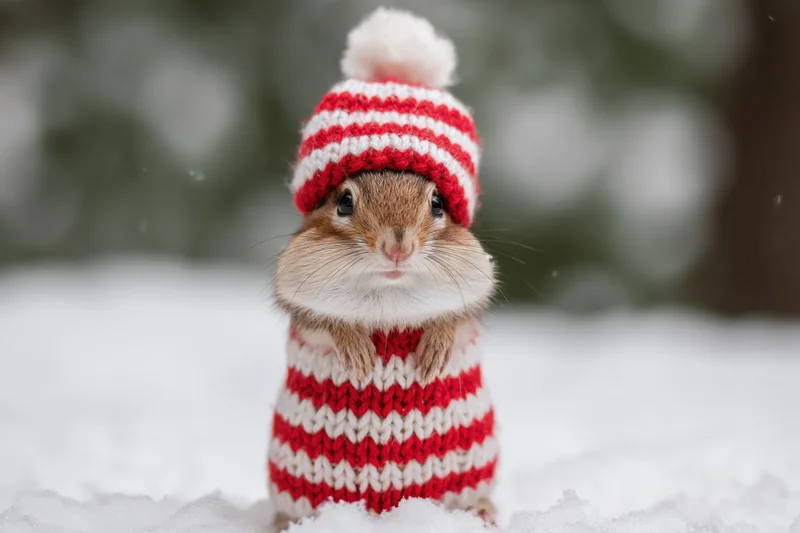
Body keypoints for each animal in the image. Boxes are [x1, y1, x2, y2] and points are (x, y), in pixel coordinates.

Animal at [267, 7, 498, 530]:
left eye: (437, 203)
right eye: (343, 202)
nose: (398, 247)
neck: (389, 295)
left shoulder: (475, 289)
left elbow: (455, 317)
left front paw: (433, 350)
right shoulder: (296, 292)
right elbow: (326, 320)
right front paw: (358, 352)